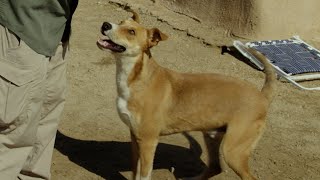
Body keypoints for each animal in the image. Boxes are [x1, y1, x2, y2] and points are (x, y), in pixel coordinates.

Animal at [97, 9, 276, 180]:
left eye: (131, 32)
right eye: (120, 21)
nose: (105, 25)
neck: (136, 78)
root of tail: (262, 96)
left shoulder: (148, 141)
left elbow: (144, 175)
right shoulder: (135, 138)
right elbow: (135, 172)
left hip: (232, 151)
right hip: (212, 136)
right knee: (215, 167)